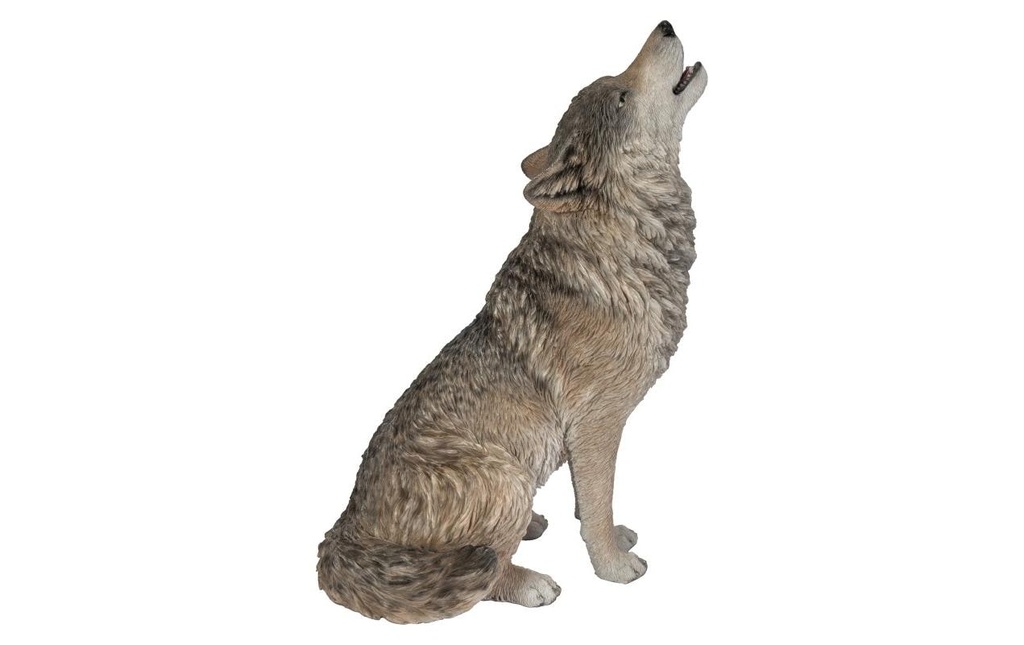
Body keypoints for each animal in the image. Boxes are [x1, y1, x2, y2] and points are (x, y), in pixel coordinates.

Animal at [317, 20, 707, 623]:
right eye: (621, 94)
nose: (664, 25)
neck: (622, 240)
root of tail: (342, 534)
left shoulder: (582, 439)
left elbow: (589, 501)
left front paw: (613, 538)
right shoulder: (597, 424)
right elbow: (598, 504)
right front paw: (614, 568)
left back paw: (532, 527)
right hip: (507, 476)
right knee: (483, 574)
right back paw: (530, 583)